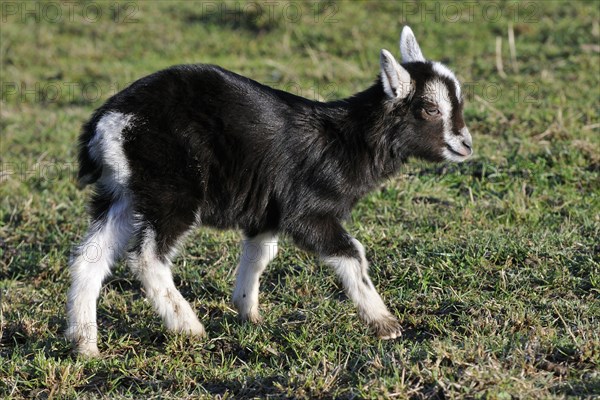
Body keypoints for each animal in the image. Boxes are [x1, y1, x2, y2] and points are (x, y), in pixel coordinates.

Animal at [64, 26, 468, 354]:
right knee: (147, 257)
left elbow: (260, 254)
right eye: (429, 108)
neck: (344, 142)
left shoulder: (267, 212)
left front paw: (248, 312)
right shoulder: (307, 212)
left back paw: (85, 344)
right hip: (170, 190)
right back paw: (188, 326)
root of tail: (109, 121)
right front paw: (385, 325)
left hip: (125, 192)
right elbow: (352, 253)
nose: (465, 145)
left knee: (90, 257)